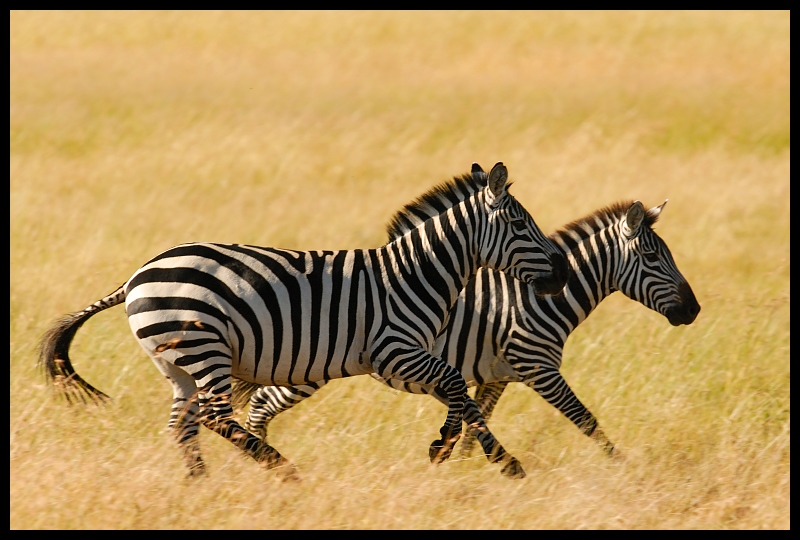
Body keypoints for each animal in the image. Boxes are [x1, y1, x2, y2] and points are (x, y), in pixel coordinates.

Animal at [39, 162, 568, 478]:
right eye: (520, 225)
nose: (562, 273)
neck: (414, 274)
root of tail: (137, 275)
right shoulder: (393, 352)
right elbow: (458, 385)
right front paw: (470, 453)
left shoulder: (405, 362)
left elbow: (462, 393)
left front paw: (468, 451)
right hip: (204, 346)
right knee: (213, 416)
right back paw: (282, 469)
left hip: (175, 363)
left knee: (182, 424)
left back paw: (200, 484)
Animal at [238, 198, 700, 464]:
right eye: (652, 257)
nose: (694, 310)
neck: (539, 300)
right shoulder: (538, 367)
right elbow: (585, 418)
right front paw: (621, 465)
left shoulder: (496, 377)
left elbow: (477, 423)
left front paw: (464, 470)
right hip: (305, 363)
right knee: (261, 402)